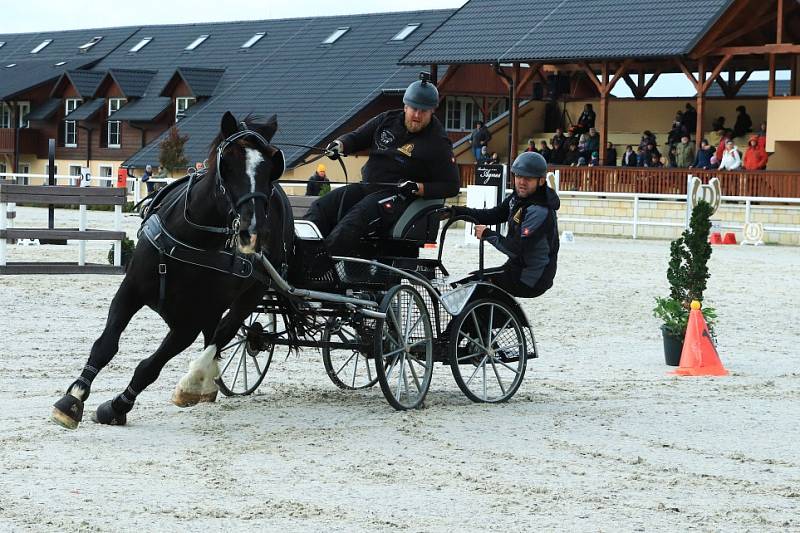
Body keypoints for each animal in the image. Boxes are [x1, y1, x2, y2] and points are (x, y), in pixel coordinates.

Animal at [50, 111, 288, 428]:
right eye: (227, 163)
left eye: (270, 167)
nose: (254, 232)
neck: (191, 240)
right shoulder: (130, 291)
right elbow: (105, 345)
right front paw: (73, 398)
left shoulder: (188, 323)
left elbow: (150, 366)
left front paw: (117, 406)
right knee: (216, 336)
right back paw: (206, 387)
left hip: (250, 294)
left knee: (223, 335)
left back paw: (192, 384)